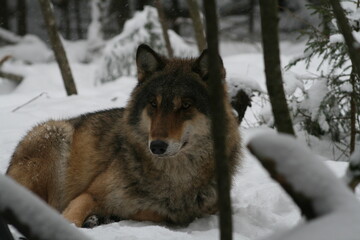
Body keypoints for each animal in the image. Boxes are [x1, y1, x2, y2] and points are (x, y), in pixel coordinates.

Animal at [6, 44, 242, 227]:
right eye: (153, 104)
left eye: (185, 105)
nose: (156, 146)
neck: (175, 177)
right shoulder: (88, 195)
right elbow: (71, 217)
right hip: (54, 135)